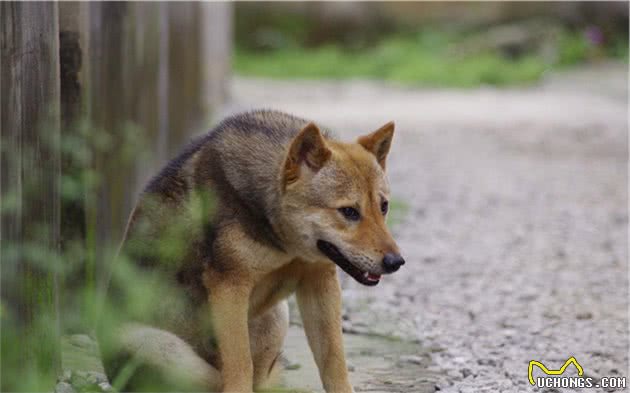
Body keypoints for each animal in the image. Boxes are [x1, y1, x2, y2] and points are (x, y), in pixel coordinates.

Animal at [99, 108, 404, 390]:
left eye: (384, 207)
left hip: (277, 315)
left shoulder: (319, 283)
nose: (396, 262)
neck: (285, 243)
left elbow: (334, 362)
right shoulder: (229, 287)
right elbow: (240, 365)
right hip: (156, 346)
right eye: (349, 211)